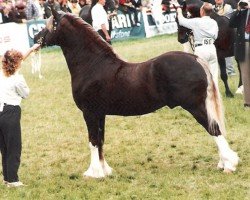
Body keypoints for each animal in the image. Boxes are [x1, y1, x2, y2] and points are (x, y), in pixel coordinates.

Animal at [34, 9, 239, 178]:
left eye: (49, 24)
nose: (36, 37)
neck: (92, 65)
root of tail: (196, 59)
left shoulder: (89, 113)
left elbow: (92, 141)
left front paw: (93, 173)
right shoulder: (100, 114)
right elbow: (100, 140)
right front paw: (105, 171)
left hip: (195, 106)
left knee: (214, 130)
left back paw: (229, 165)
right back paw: (224, 163)